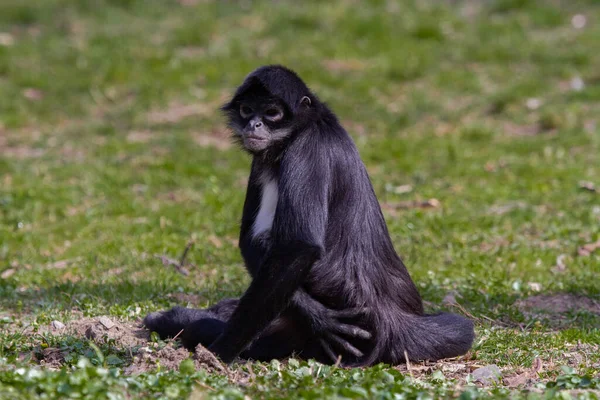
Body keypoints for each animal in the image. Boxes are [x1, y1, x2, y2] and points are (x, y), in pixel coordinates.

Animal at [145, 65, 474, 366]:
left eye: (272, 112)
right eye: (246, 109)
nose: (254, 124)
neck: (311, 125)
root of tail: (392, 323)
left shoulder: (307, 149)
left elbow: (296, 246)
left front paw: (216, 354)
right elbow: (253, 242)